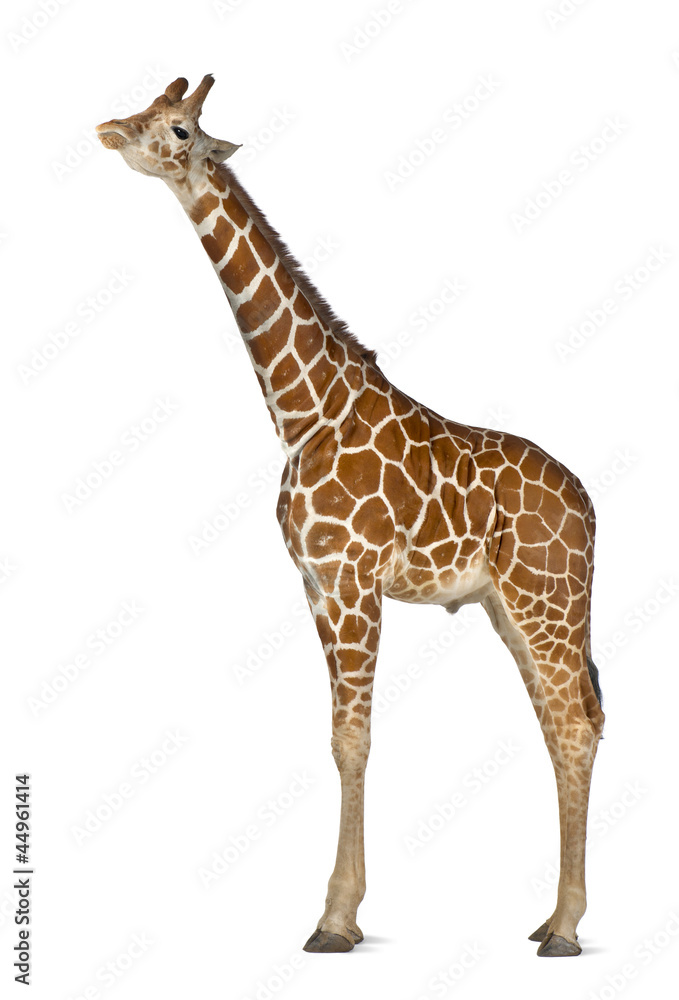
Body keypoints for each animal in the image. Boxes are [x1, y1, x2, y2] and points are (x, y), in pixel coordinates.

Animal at [97, 75, 605, 957]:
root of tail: (588, 506)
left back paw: (568, 930)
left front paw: (334, 920)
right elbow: (337, 735)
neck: (302, 411)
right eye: (143, 108)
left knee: (574, 727)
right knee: (562, 725)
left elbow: (352, 738)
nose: (110, 131)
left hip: (547, 601)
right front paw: (341, 913)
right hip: (516, 608)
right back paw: (549, 917)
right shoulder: (312, 582)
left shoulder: (350, 579)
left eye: (180, 127)